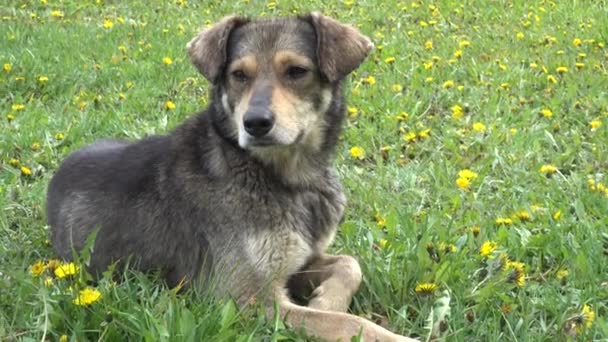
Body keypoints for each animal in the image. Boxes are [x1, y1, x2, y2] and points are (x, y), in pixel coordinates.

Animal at [46, 12, 418, 340]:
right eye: (238, 75)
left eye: (297, 71)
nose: (255, 123)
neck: (289, 178)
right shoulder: (248, 301)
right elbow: (346, 323)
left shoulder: (298, 261)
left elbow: (350, 264)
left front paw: (327, 300)